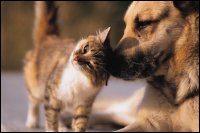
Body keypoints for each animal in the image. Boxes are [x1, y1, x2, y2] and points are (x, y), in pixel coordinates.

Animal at [23, 1, 111, 132]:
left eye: (89, 65)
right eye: (85, 49)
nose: (75, 58)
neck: (79, 78)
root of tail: (49, 38)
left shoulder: (84, 104)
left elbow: (80, 122)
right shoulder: (52, 95)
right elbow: (51, 120)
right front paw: (52, 128)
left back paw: (62, 127)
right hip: (37, 87)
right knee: (33, 101)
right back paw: (32, 121)